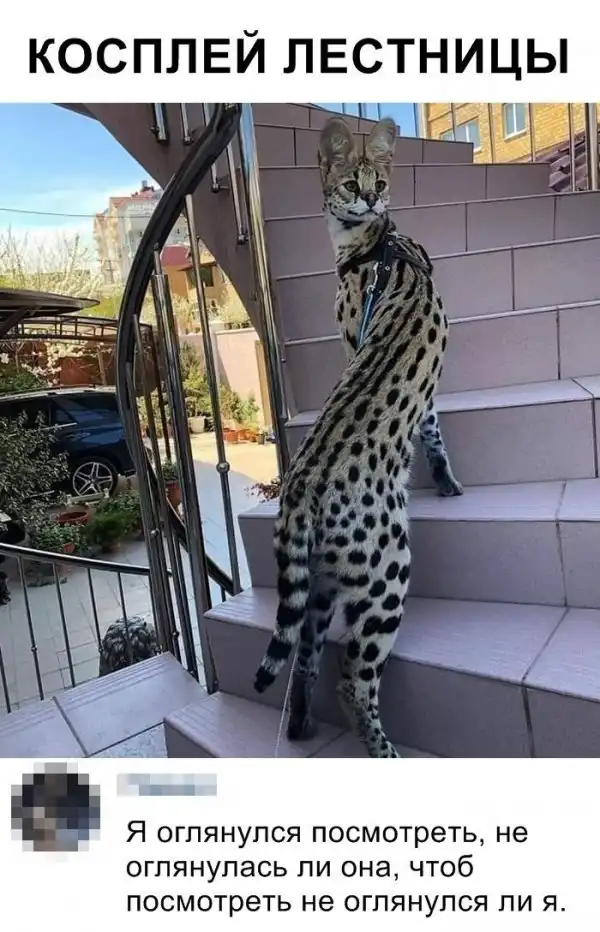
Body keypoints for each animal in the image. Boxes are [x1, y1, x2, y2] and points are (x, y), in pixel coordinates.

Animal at [254, 115, 454, 758]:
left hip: (333, 579)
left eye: (380, 181)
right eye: (348, 182)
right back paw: (380, 752)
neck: (376, 242)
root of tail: (299, 489)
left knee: (313, 656)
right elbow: (434, 428)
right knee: (348, 675)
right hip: (379, 574)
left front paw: (448, 482)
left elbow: (434, 429)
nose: (367, 199)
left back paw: (302, 724)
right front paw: (447, 480)